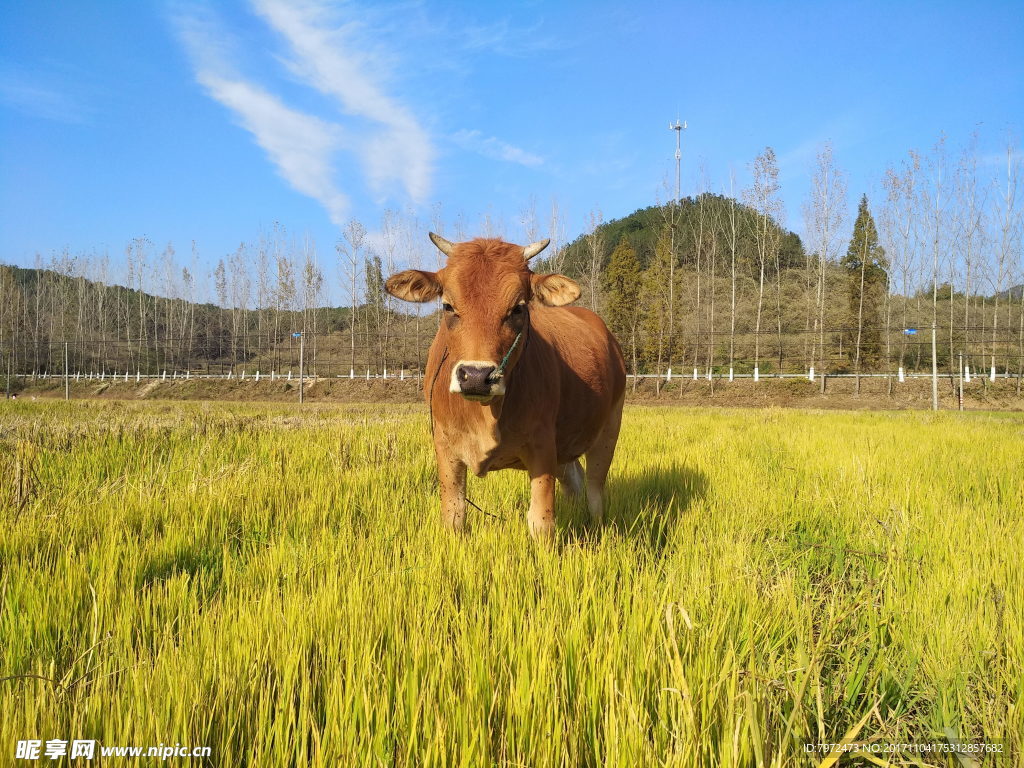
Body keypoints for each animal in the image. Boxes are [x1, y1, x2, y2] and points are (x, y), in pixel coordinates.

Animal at [385, 234, 622, 540]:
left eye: (518, 308)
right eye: (448, 306)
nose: (476, 376)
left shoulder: (543, 448)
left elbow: (541, 523)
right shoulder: (445, 448)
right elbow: (454, 516)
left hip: (609, 430)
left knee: (594, 489)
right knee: (575, 480)